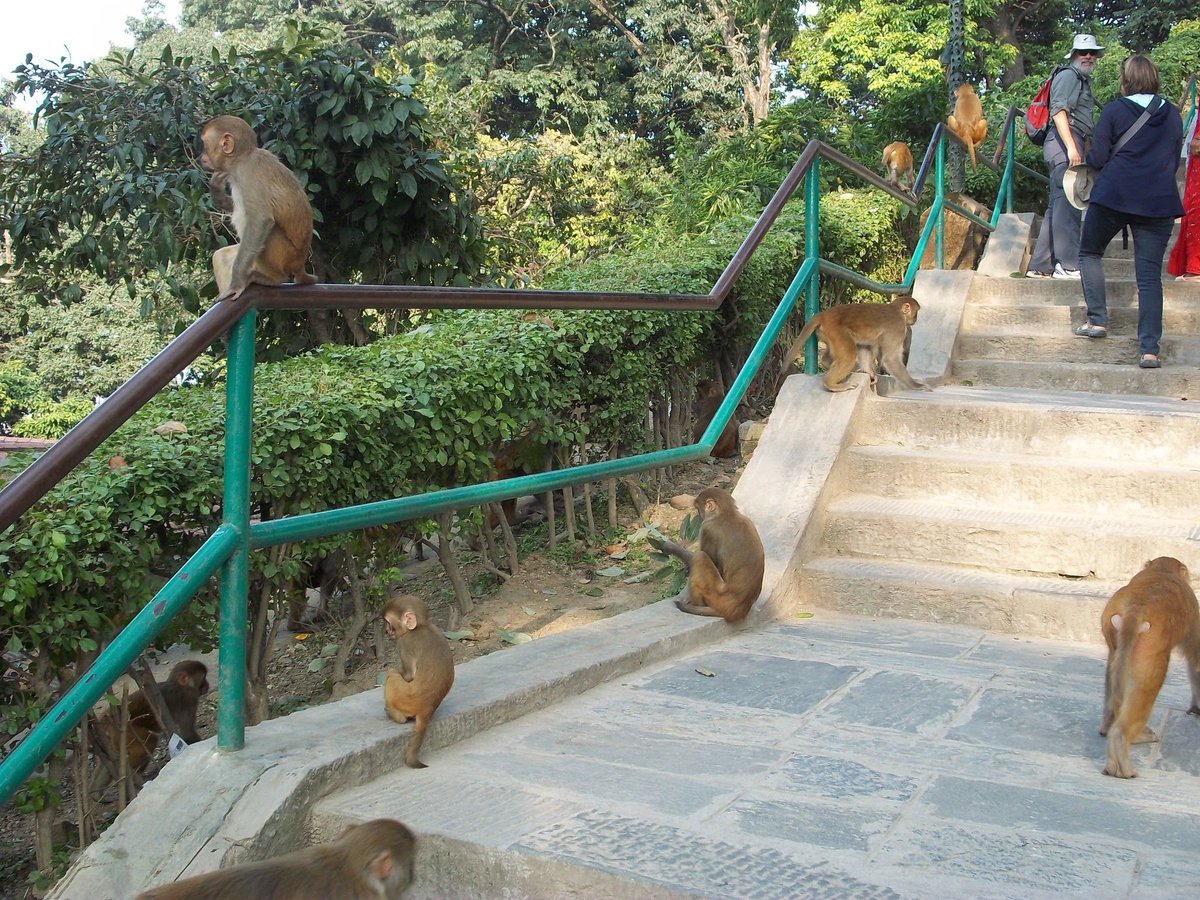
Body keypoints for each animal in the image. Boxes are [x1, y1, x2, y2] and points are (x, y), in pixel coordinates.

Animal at [198, 114, 317, 301]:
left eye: (204, 145)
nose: (200, 156)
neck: (241, 158)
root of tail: (300, 264)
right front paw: (217, 192)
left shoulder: (248, 172)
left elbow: (261, 220)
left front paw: (236, 284)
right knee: (221, 256)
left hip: (286, 257)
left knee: (270, 231)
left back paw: (273, 278)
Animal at [382, 595, 455, 768]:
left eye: (389, 623)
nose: (386, 631)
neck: (421, 626)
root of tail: (425, 710)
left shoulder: (404, 643)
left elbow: (408, 675)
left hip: (403, 698)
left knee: (391, 674)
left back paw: (396, 716)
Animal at [647, 487, 764, 624]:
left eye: (699, 509)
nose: (699, 516)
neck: (727, 514)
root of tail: (738, 610)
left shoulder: (707, 529)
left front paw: (669, 546)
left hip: (716, 595)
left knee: (700, 557)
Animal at [779, 295, 928, 394]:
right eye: (916, 312)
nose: (915, 319)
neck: (897, 312)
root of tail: (824, 315)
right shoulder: (898, 328)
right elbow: (890, 359)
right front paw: (916, 385)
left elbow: (865, 347)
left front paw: (870, 372)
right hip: (836, 330)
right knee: (849, 355)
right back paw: (830, 383)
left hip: (826, 333)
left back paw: (827, 362)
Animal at [1099, 557, 1200, 779]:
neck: (1163, 570)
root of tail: (1136, 608)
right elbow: (1197, 660)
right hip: (1150, 650)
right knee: (1147, 685)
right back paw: (1125, 742)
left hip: (1113, 633)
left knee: (1114, 669)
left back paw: (1108, 726)